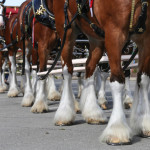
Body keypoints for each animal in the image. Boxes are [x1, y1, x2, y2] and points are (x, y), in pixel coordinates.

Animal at [51, 0, 150, 145]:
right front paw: (117, 130)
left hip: (95, 38)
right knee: (67, 71)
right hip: (67, 30)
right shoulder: (114, 34)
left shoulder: (146, 38)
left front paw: (145, 123)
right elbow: (117, 81)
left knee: (89, 67)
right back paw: (64, 114)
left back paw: (92, 113)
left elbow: (143, 80)